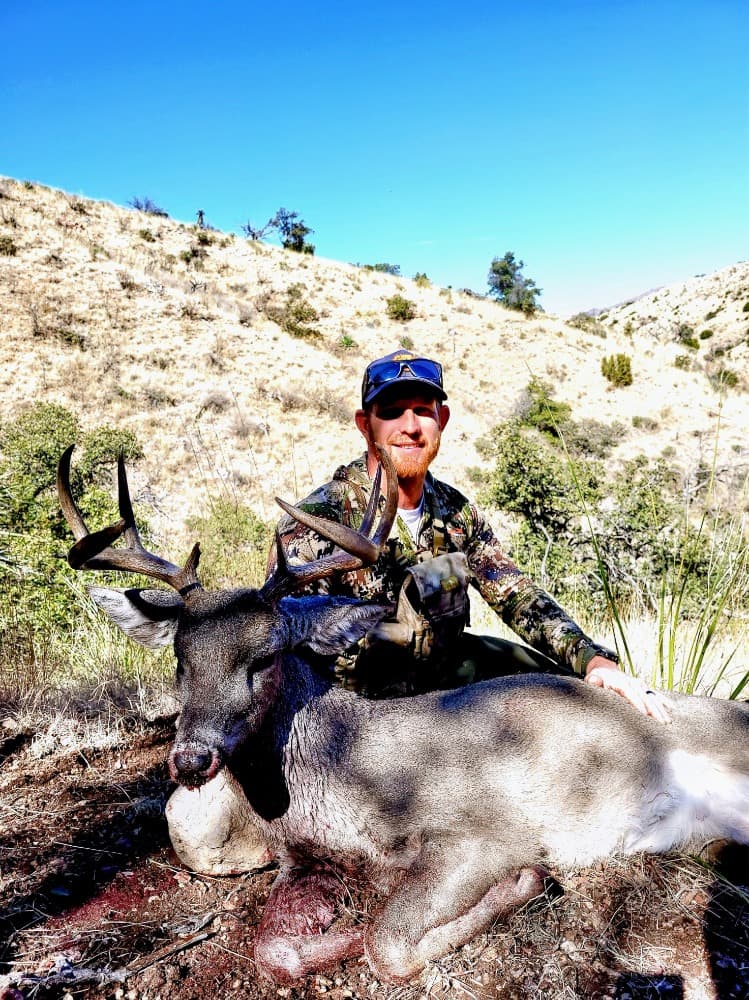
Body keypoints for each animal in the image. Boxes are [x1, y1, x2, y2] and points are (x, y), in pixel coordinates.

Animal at [57, 445, 749, 984]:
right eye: (180, 657)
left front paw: (525, 886)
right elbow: (275, 949)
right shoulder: (302, 857)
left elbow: (386, 942)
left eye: (264, 656)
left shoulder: (485, 834)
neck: (341, 774)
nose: (190, 758)